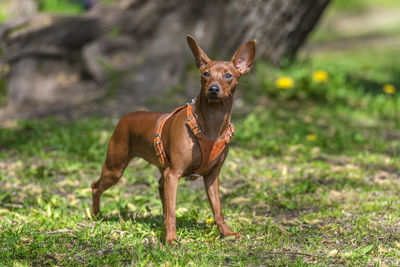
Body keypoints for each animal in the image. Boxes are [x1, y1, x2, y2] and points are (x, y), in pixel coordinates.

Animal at [91, 35, 256, 245]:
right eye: (206, 74)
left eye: (228, 75)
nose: (213, 89)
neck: (211, 124)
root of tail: (125, 117)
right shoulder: (174, 174)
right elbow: (172, 213)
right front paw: (170, 239)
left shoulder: (212, 177)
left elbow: (217, 210)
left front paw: (226, 232)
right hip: (115, 168)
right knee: (95, 186)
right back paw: (96, 214)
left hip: (159, 171)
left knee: (160, 189)